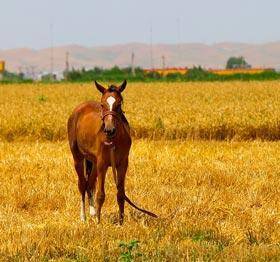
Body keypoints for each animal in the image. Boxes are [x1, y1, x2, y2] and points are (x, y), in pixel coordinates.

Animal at [66, 80, 156, 223]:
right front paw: (99, 222)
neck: (113, 140)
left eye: (119, 104)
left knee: (89, 184)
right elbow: (100, 194)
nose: (109, 130)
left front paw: (121, 222)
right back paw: (84, 217)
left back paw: (92, 213)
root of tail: (78, 109)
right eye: (102, 104)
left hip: (93, 162)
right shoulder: (102, 164)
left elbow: (121, 194)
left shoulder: (122, 164)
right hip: (78, 157)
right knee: (82, 184)